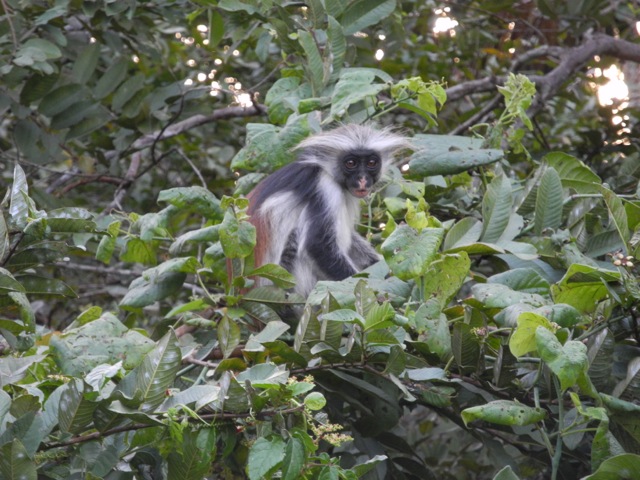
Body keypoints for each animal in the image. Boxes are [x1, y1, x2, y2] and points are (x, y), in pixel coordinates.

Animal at [248, 124, 408, 296]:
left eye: (371, 162)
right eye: (351, 163)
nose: (362, 180)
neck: (326, 171)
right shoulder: (325, 187)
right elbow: (318, 245)